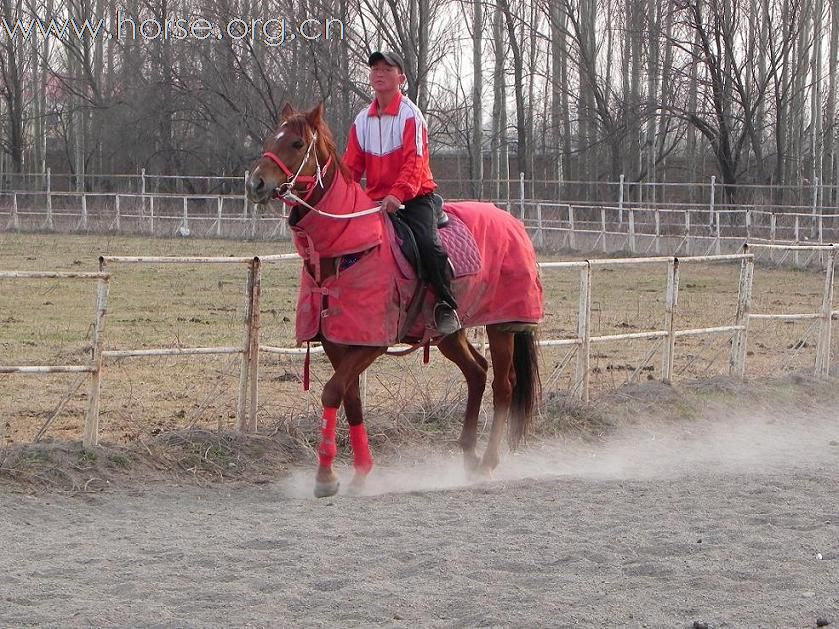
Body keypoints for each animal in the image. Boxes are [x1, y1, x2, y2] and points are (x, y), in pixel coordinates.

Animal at [244, 103, 544, 496]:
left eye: (296, 143)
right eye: (270, 139)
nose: (255, 183)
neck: (348, 249)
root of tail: (512, 221)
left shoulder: (372, 342)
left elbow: (332, 392)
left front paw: (326, 476)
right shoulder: (337, 340)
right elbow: (351, 399)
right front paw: (360, 471)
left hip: (501, 325)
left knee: (502, 386)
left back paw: (487, 463)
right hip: (449, 332)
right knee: (477, 373)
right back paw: (468, 455)